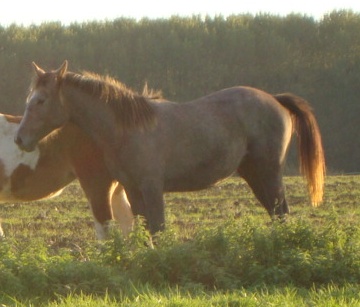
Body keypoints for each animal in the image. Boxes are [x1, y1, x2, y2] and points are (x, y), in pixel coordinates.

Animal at [15, 61, 324, 235]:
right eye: (28, 99)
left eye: (41, 100)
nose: (20, 139)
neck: (127, 129)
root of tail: (275, 99)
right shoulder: (133, 190)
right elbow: (145, 231)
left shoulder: (152, 188)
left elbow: (158, 229)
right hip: (255, 175)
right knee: (276, 214)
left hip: (269, 173)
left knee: (281, 212)